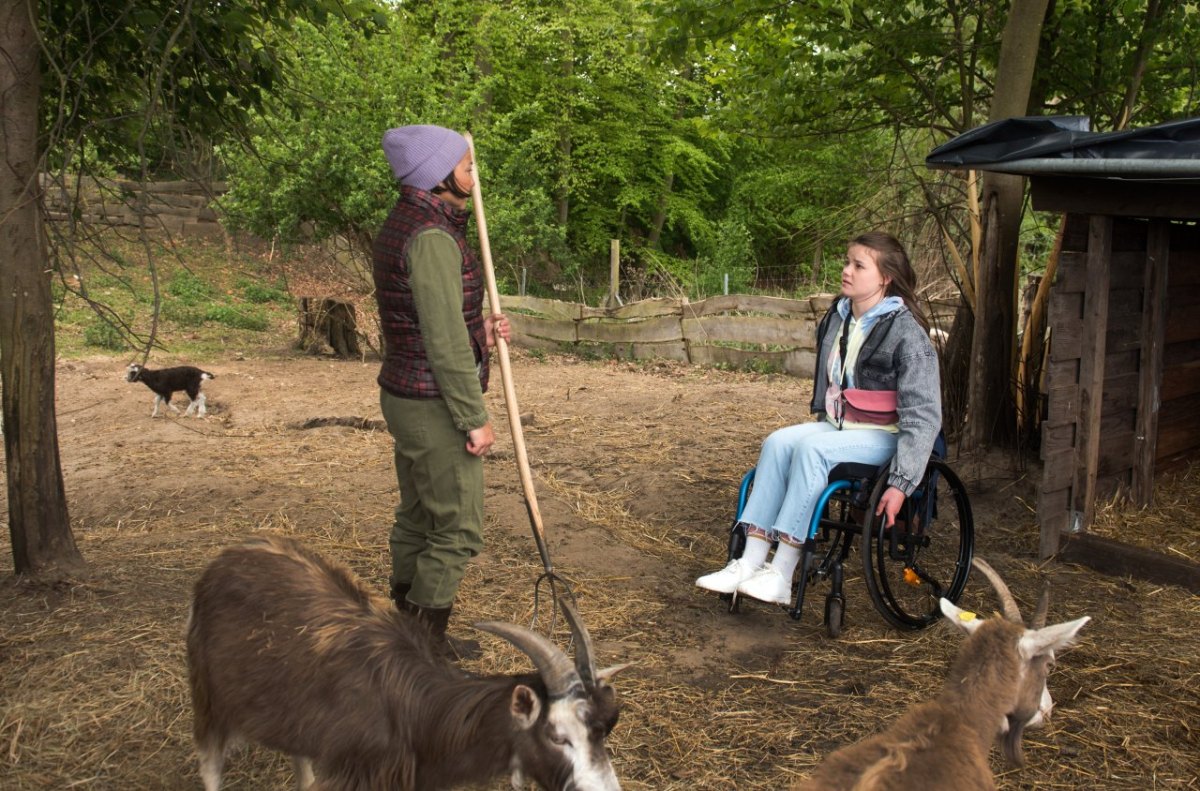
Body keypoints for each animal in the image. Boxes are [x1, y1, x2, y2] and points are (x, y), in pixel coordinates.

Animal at [184, 535, 628, 787]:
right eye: (557, 736)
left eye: (605, 730)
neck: (417, 707)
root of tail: (226, 559)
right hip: (208, 693)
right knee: (209, 761)